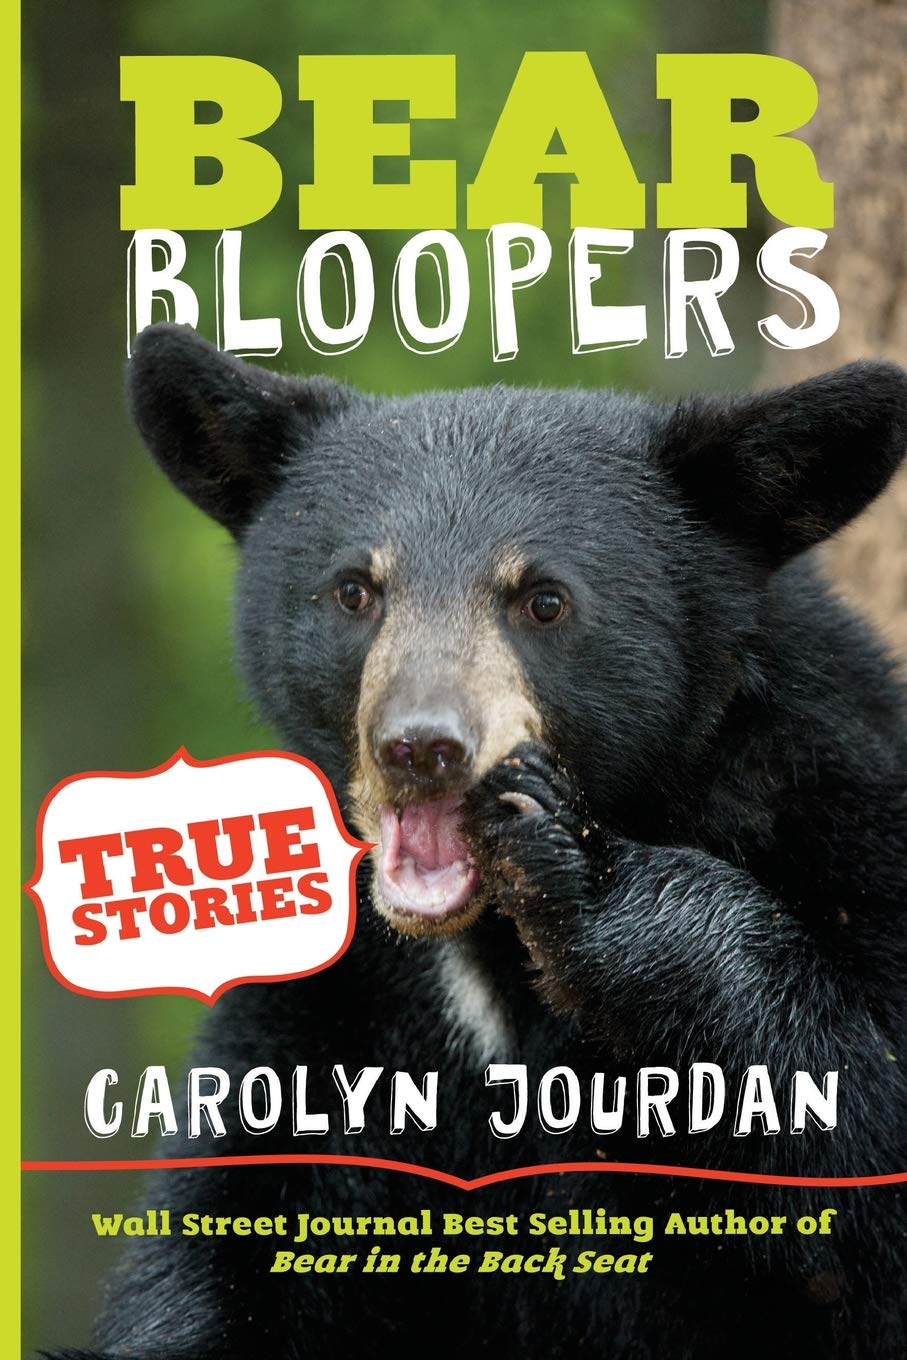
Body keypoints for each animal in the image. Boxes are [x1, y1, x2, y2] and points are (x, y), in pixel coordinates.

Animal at [48, 323, 907, 1360]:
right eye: (354, 590)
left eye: (543, 600)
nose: (422, 746)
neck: (489, 946)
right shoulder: (339, 1007)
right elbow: (232, 1235)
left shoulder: (841, 823)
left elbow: (859, 1168)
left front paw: (591, 884)